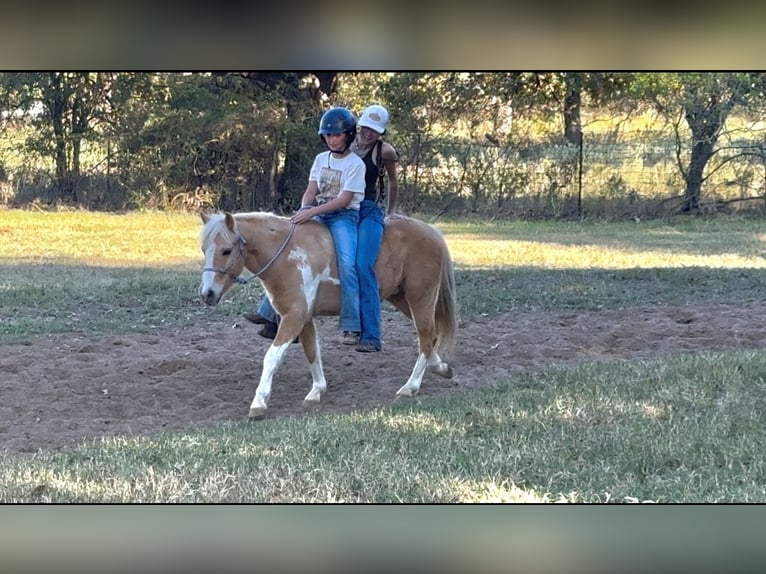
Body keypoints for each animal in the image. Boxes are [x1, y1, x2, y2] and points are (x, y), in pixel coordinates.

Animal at [199, 211, 457, 419]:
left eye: (226, 250)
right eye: (204, 250)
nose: (207, 293)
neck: (288, 254)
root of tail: (432, 231)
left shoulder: (294, 317)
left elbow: (272, 358)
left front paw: (259, 403)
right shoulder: (303, 319)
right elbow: (312, 352)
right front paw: (316, 391)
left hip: (420, 296)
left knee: (426, 336)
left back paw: (410, 386)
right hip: (402, 297)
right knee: (430, 336)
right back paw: (440, 368)